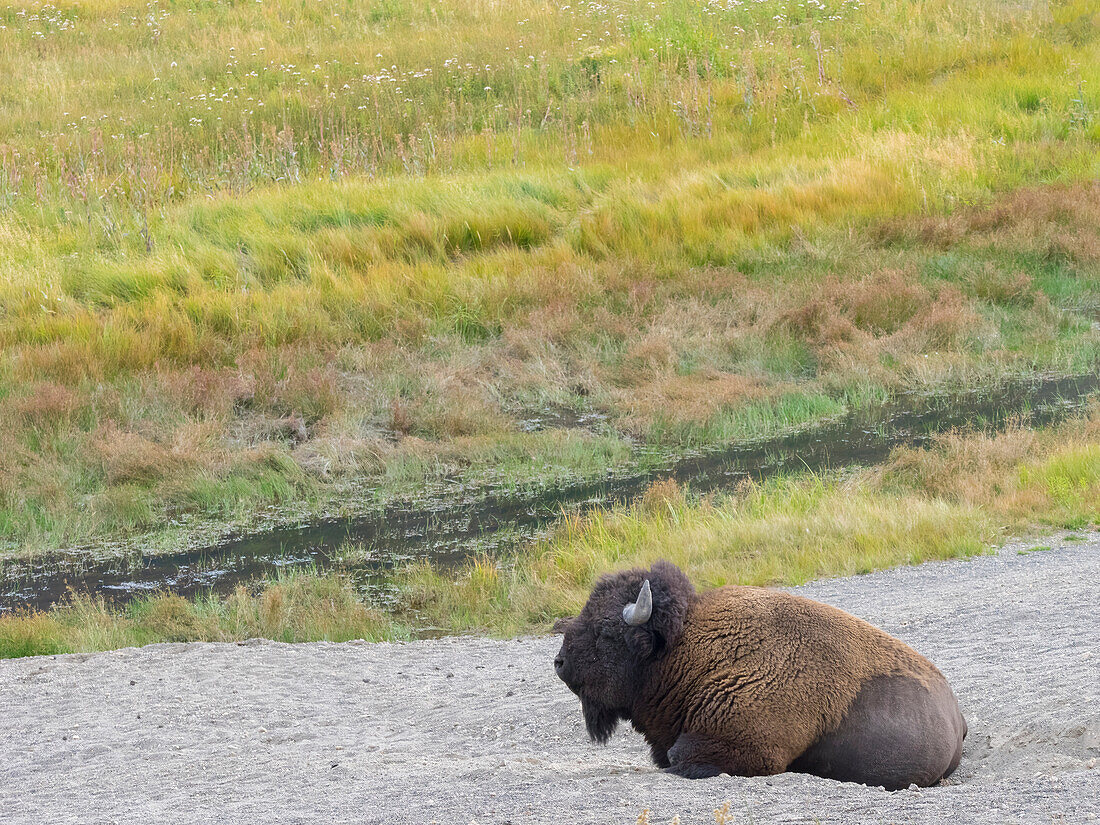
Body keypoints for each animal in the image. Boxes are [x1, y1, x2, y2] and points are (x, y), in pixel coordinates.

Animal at [554, 563, 968, 787]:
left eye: (606, 631)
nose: (559, 662)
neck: (685, 649)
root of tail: (956, 714)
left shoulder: (745, 746)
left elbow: (679, 757)